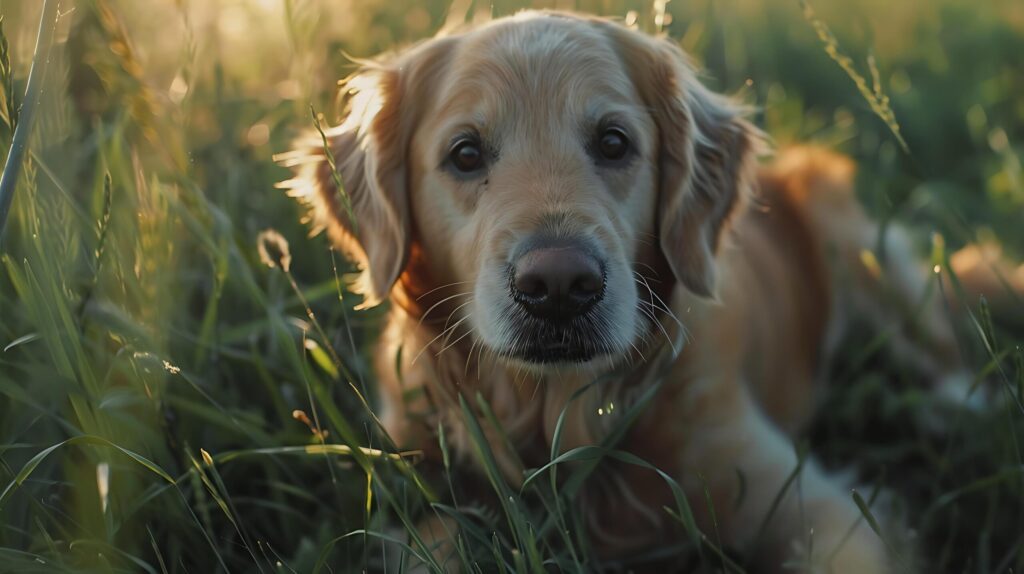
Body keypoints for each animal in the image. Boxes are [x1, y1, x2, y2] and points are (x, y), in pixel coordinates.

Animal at [276, 10, 1019, 572]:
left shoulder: (814, 504)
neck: (562, 417)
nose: (559, 286)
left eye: (613, 143)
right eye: (465, 153)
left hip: (867, 252)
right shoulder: (425, 499)